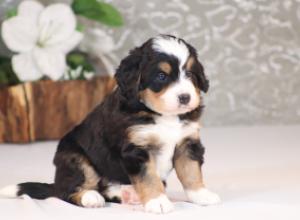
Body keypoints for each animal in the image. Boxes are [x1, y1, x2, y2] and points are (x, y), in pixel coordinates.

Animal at [0, 35, 220, 214]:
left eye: (190, 74)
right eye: (161, 76)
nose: (185, 97)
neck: (163, 115)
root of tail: (57, 180)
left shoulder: (187, 143)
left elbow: (191, 172)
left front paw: (202, 195)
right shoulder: (136, 149)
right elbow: (149, 177)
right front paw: (157, 201)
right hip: (74, 157)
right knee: (67, 191)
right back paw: (90, 197)